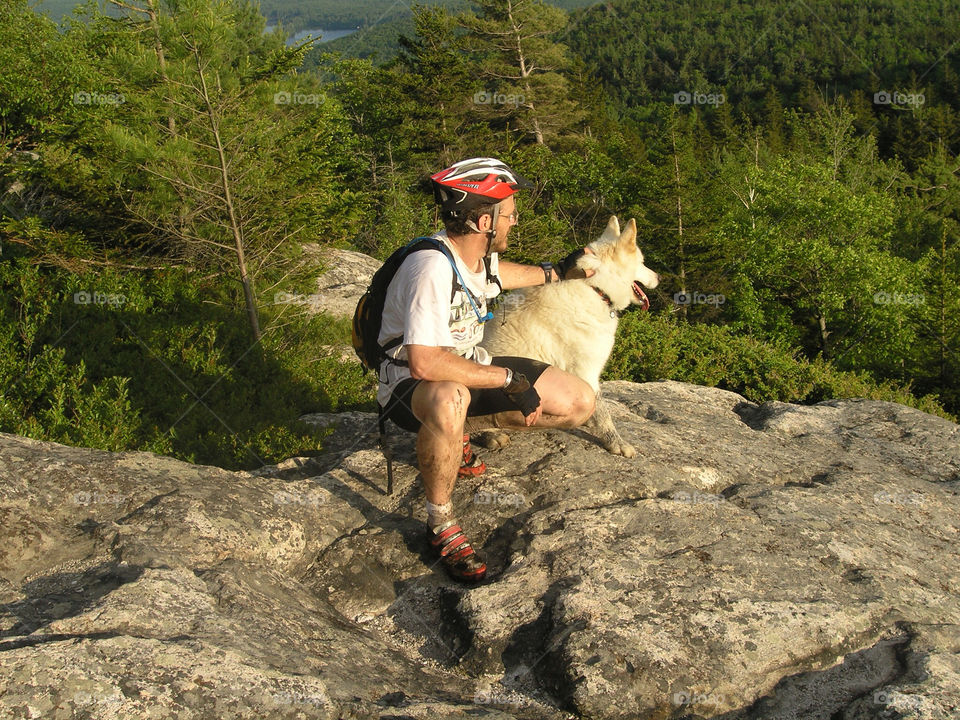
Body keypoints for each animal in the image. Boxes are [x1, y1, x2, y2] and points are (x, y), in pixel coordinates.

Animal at [480, 217, 660, 458]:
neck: (595, 288)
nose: (659, 277)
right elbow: (604, 414)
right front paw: (616, 442)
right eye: (642, 262)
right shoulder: (586, 372)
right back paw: (492, 435)